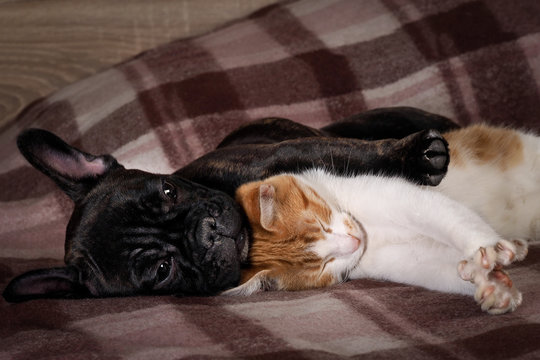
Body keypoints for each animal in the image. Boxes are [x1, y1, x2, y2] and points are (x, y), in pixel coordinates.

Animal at [2, 106, 458, 300]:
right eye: (162, 270)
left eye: (168, 191)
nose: (208, 231)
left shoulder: (280, 154)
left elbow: (352, 152)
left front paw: (412, 156)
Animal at [223, 124, 532, 316]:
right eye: (323, 266)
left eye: (321, 223)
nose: (354, 242)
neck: (371, 230)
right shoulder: (408, 258)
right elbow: (442, 269)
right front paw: (493, 287)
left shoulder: (408, 199)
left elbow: (454, 220)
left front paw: (488, 249)